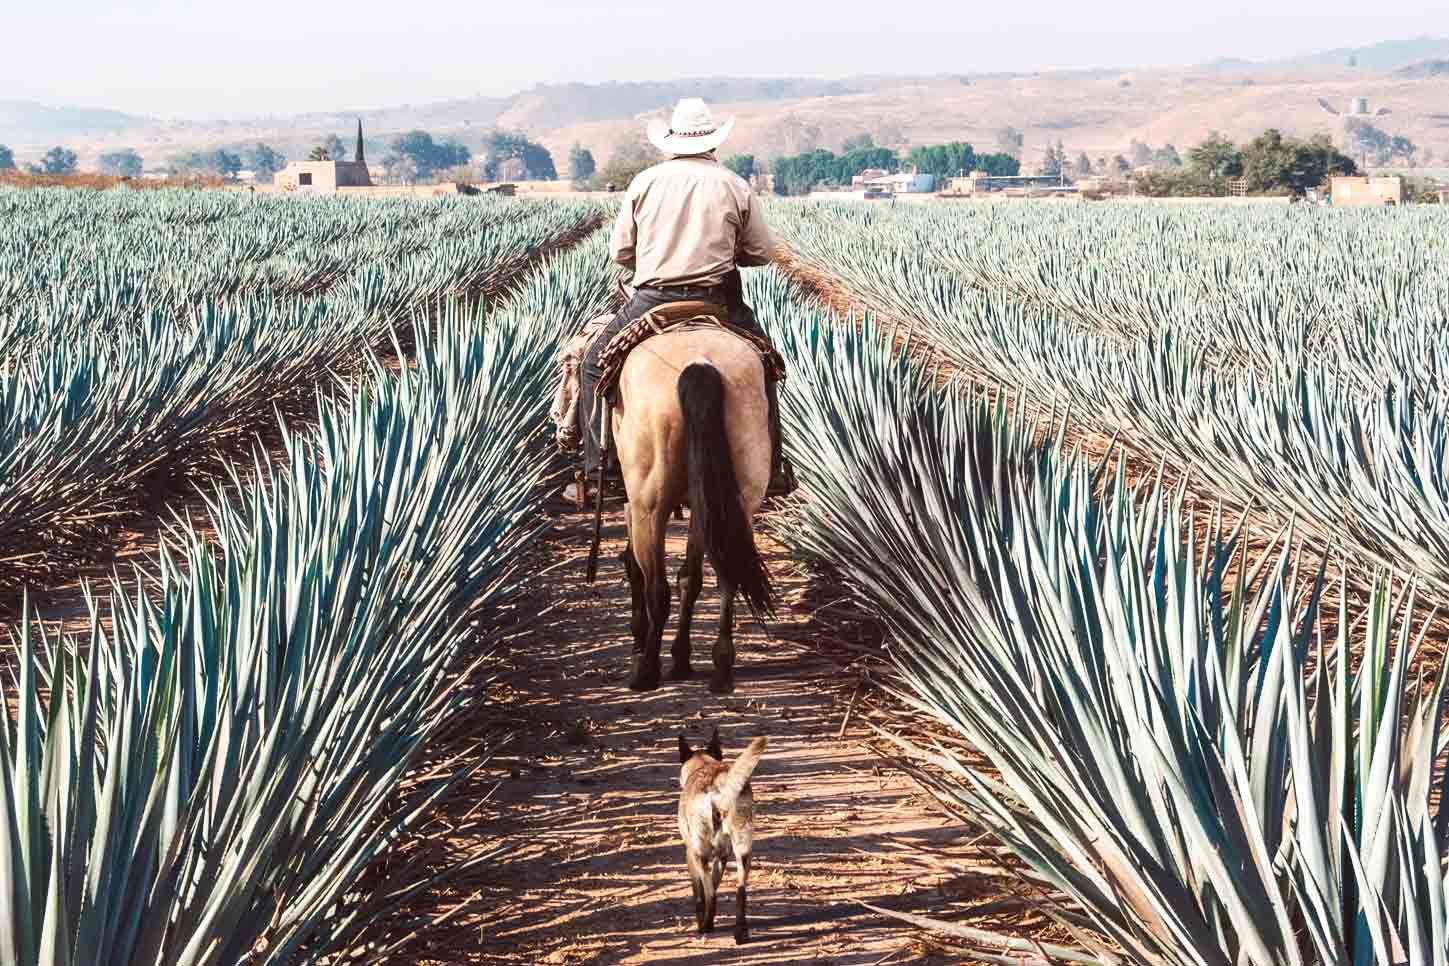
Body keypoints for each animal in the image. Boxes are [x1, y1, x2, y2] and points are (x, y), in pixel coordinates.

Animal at [608, 328, 776, 692]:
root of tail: (700, 364)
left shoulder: (633, 502)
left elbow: (636, 568)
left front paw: (641, 641)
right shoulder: (704, 505)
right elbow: (691, 578)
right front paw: (681, 659)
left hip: (649, 503)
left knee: (657, 589)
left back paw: (645, 671)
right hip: (736, 495)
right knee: (728, 573)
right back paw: (721, 666)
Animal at [678, 729, 770, 938]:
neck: (703, 764)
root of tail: (718, 785)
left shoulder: (690, 855)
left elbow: (700, 895)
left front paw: (703, 921)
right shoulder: (723, 856)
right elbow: (714, 884)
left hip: (700, 854)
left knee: (710, 895)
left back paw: (705, 927)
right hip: (743, 853)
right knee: (740, 891)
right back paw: (740, 932)